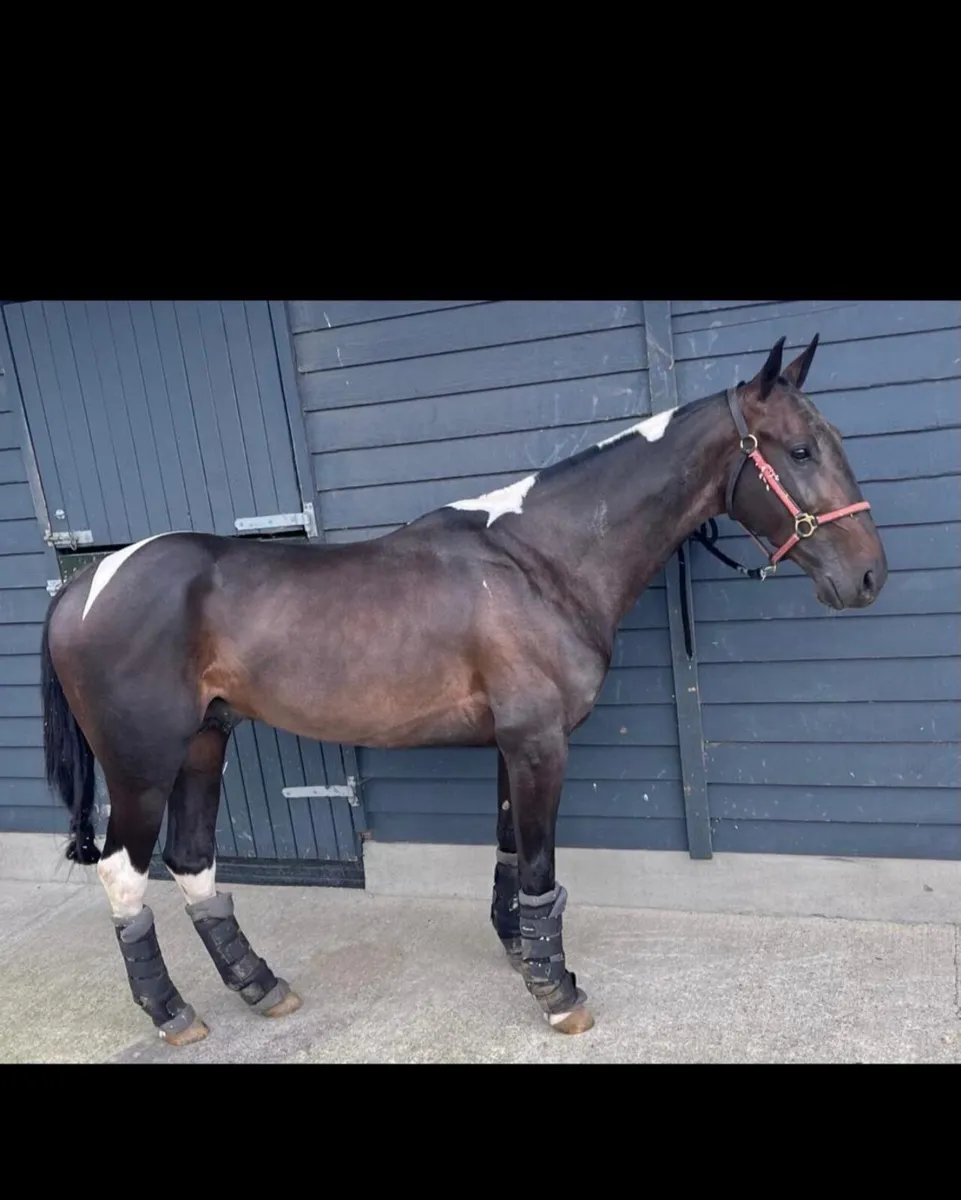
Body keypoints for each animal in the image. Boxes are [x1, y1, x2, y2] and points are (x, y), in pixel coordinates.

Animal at [39, 333, 888, 1046]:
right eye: (800, 449)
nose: (868, 577)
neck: (535, 560)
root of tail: (82, 589)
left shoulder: (512, 744)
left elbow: (511, 852)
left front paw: (523, 956)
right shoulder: (539, 742)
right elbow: (541, 866)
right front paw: (558, 993)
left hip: (205, 743)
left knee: (193, 863)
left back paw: (260, 985)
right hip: (143, 764)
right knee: (125, 873)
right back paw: (171, 1012)